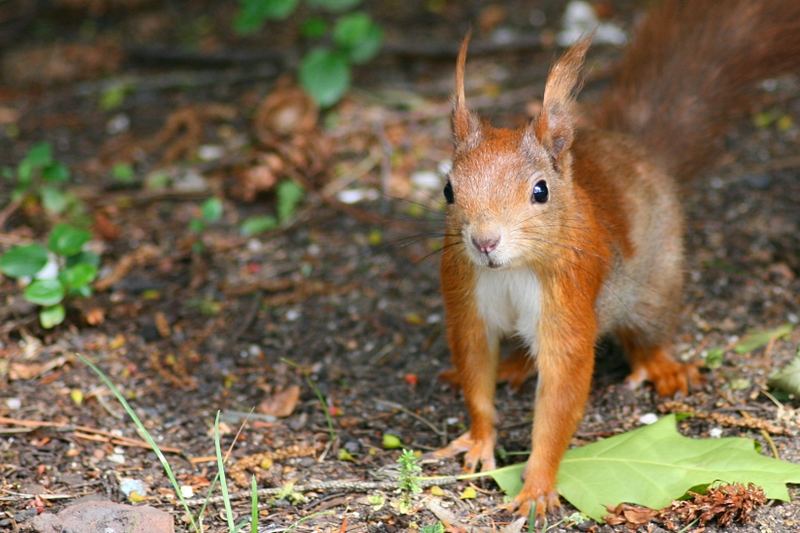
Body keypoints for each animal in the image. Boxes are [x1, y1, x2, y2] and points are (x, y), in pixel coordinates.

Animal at [434, 0, 800, 516]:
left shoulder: (569, 299)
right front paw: (480, 439)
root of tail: (635, 151)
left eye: (540, 191)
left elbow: (562, 392)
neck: (511, 272)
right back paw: (514, 367)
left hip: (656, 283)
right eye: (449, 189)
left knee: (648, 334)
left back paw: (662, 366)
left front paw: (537, 485)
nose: (484, 242)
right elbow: (475, 369)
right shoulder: (466, 300)